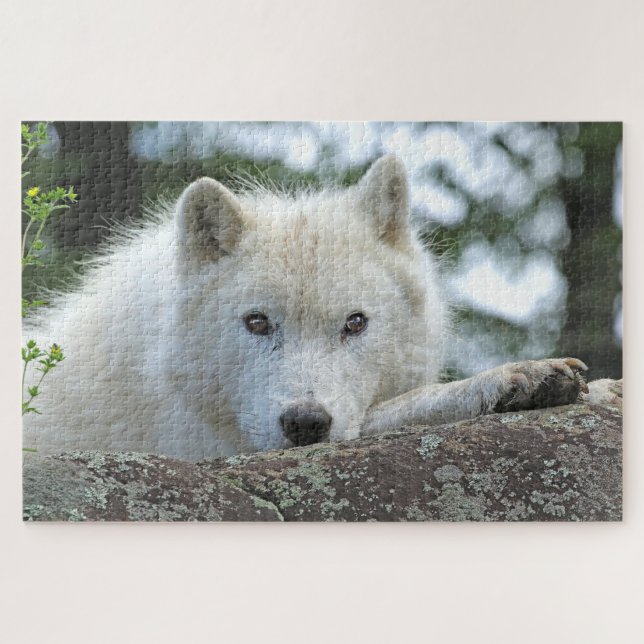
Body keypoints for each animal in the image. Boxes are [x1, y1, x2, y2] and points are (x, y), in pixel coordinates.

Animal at [23, 155, 589, 461]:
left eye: (355, 323)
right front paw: (512, 379)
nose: (305, 424)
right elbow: (398, 409)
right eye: (256, 322)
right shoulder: (207, 446)